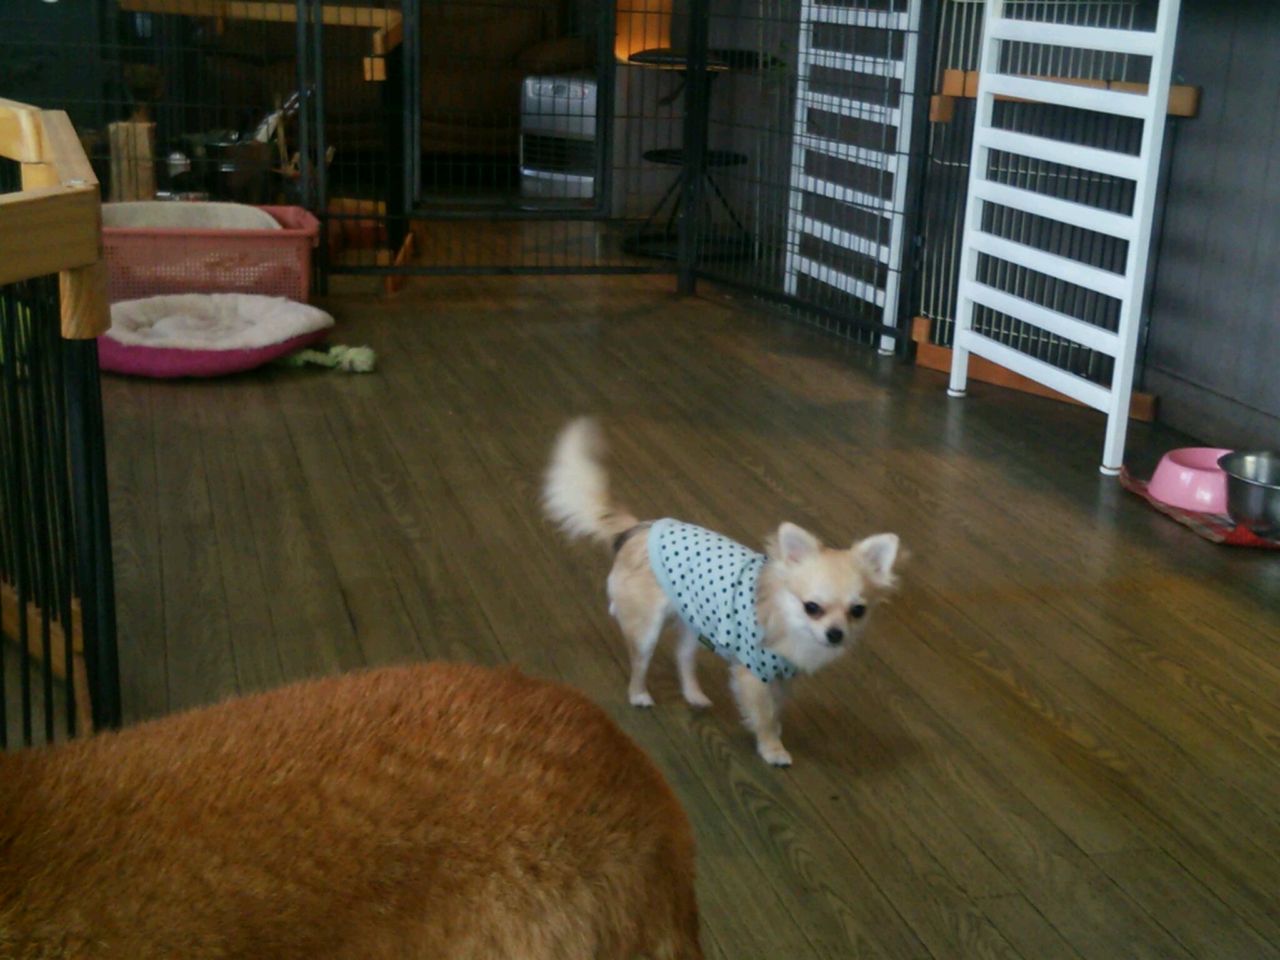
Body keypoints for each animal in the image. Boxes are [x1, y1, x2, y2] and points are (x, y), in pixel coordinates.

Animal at [542, 418, 901, 767]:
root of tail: (639, 529)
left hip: (694, 619)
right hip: (646, 629)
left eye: (858, 611)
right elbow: (764, 715)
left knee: (683, 657)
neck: (786, 620)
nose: (836, 634)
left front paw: (775, 730)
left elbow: (776, 709)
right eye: (812, 607)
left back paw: (694, 695)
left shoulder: (782, 678)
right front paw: (772, 748)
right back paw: (639, 695)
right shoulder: (754, 674)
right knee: (640, 663)